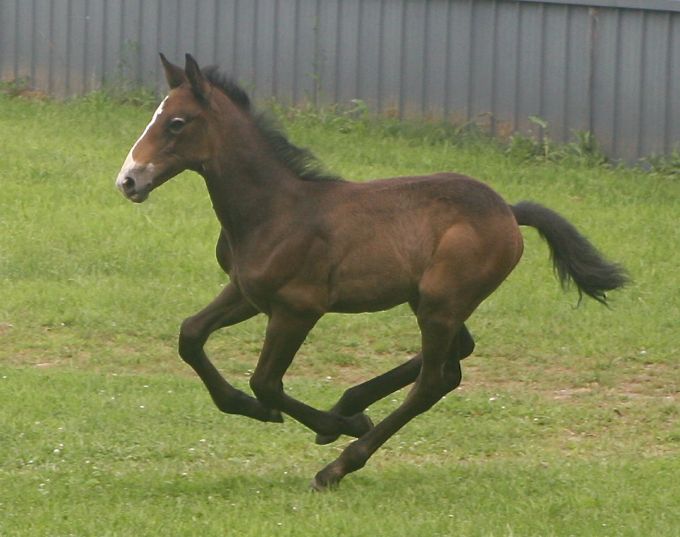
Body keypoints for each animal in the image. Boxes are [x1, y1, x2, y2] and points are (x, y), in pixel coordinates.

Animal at [113, 55, 628, 490]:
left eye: (176, 123)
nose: (129, 180)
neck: (275, 209)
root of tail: (508, 211)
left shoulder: (298, 309)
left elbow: (267, 382)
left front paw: (333, 424)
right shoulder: (246, 292)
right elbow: (190, 335)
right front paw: (252, 407)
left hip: (440, 303)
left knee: (436, 381)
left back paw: (339, 461)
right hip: (433, 299)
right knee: (458, 354)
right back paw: (350, 403)